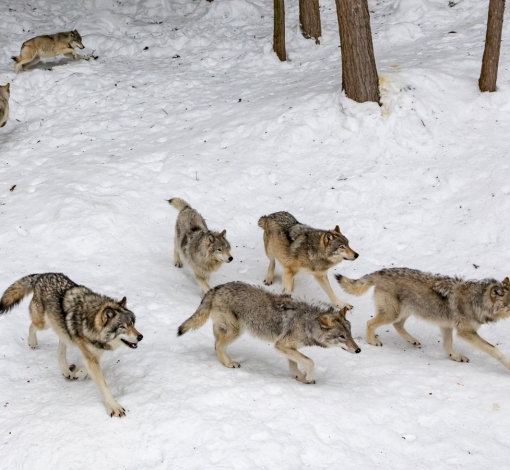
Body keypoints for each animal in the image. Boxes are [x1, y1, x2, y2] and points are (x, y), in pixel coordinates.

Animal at [177, 280, 360, 384]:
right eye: (342, 336)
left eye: (350, 334)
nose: (358, 350)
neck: (308, 323)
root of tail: (217, 288)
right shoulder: (281, 345)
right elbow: (310, 361)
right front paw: (308, 377)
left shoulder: (288, 347)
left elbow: (295, 364)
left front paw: (299, 377)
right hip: (236, 331)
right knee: (218, 346)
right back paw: (229, 364)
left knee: (216, 344)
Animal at [336, 266, 510, 370]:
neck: (478, 302)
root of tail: (382, 271)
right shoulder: (466, 332)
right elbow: (494, 349)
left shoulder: (446, 325)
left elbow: (448, 346)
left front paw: (455, 357)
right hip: (392, 314)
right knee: (370, 323)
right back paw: (373, 341)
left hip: (405, 312)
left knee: (397, 325)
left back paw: (412, 340)